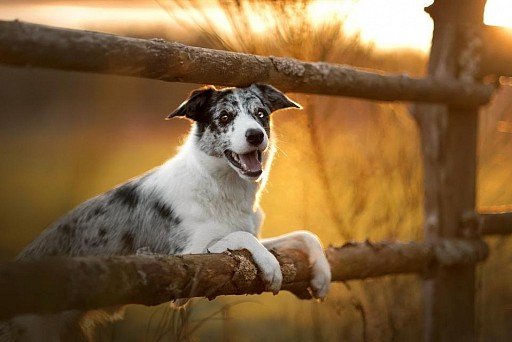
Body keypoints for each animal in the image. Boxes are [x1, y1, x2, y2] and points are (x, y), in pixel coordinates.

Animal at [3, 84, 332, 340]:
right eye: (224, 117)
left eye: (261, 113)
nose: (255, 135)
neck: (220, 187)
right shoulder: (185, 257)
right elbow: (242, 238)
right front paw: (270, 265)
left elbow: (305, 235)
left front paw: (322, 273)